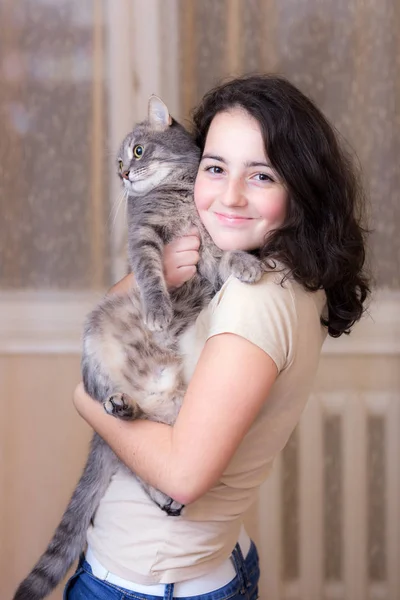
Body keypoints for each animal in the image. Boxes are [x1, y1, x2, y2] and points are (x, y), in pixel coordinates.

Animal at [13, 96, 262, 596]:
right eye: (119, 162)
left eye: (139, 151)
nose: (125, 174)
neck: (179, 192)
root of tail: (155, 390)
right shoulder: (144, 239)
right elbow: (149, 275)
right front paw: (158, 311)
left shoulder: (209, 249)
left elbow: (228, 255)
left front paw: (247, 262)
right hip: (97, 351)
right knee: (128, 449)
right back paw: (122, 410)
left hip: (182, 423)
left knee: (151, 454)